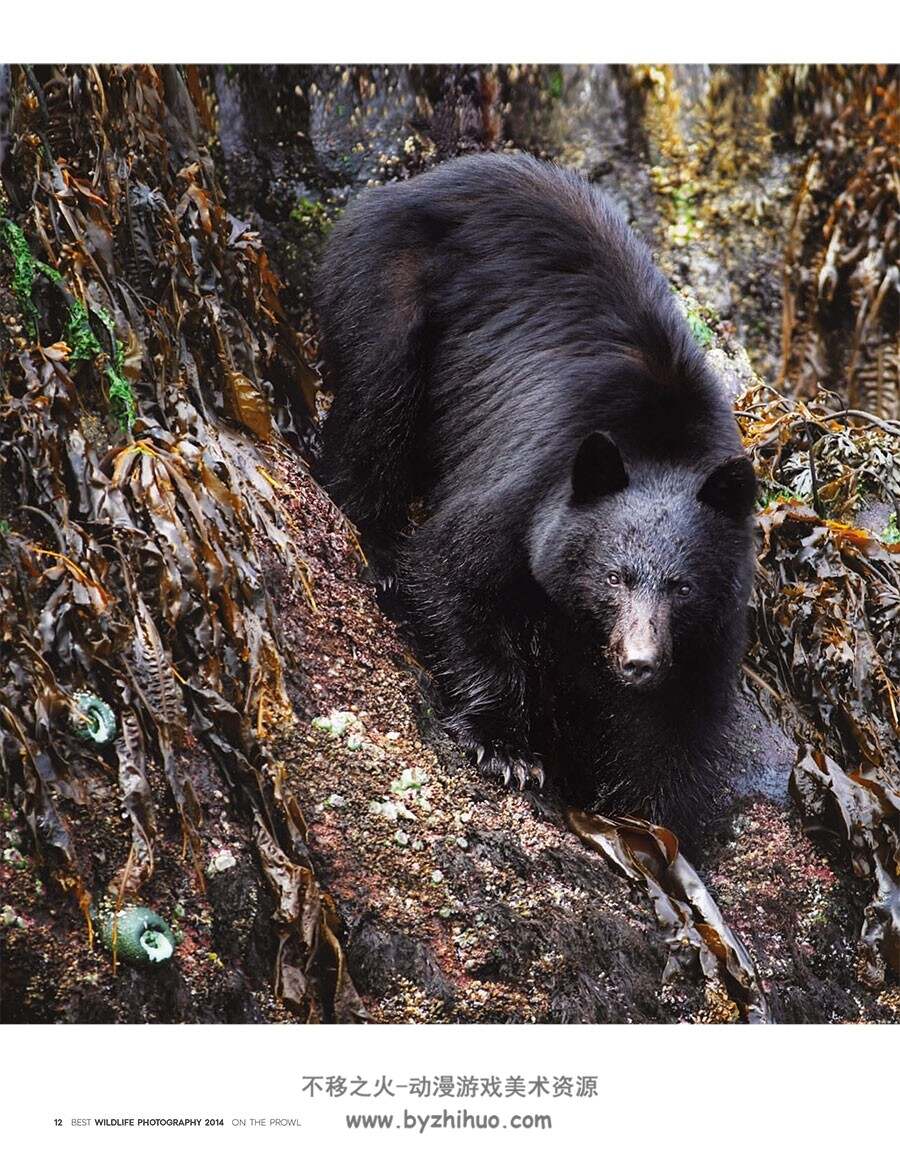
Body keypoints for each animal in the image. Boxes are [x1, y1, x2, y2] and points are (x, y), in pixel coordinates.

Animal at [313, 150, 751, 829]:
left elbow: (683, 710)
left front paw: (656, 815)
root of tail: (416, 180)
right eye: (614, 576)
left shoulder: (713, 617)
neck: (661, 444)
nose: (639, 662)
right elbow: (454, 571)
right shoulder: (531, 481)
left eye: (681, 587)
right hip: (388, 285)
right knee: (376, 406)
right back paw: (375, 549)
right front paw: (506, 747)